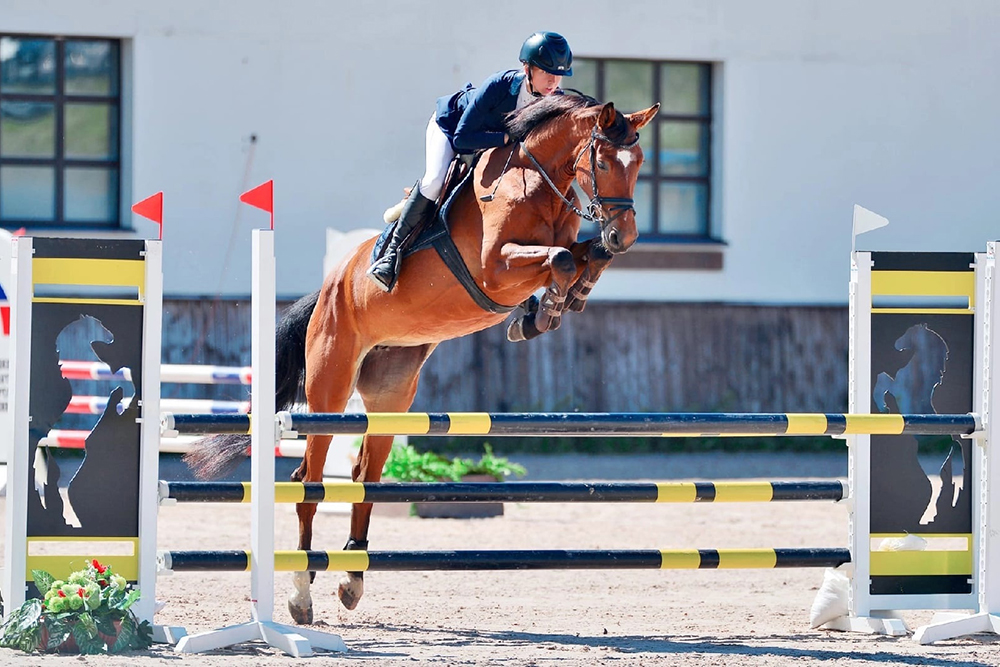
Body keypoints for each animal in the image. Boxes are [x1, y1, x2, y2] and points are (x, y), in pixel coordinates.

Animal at [184, 95, 660, 628]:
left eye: (640, 163)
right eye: (604, 163)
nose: (626, 236)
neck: (539, 181)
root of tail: (328, 288)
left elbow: (584, 255)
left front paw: (559, 303)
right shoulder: (495, 268)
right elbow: (558, 259)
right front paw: (545, 309)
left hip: (391, 394)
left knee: (363, 478)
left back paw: (352, 579)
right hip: (329, 387)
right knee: (308, 481)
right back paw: (301, 594)